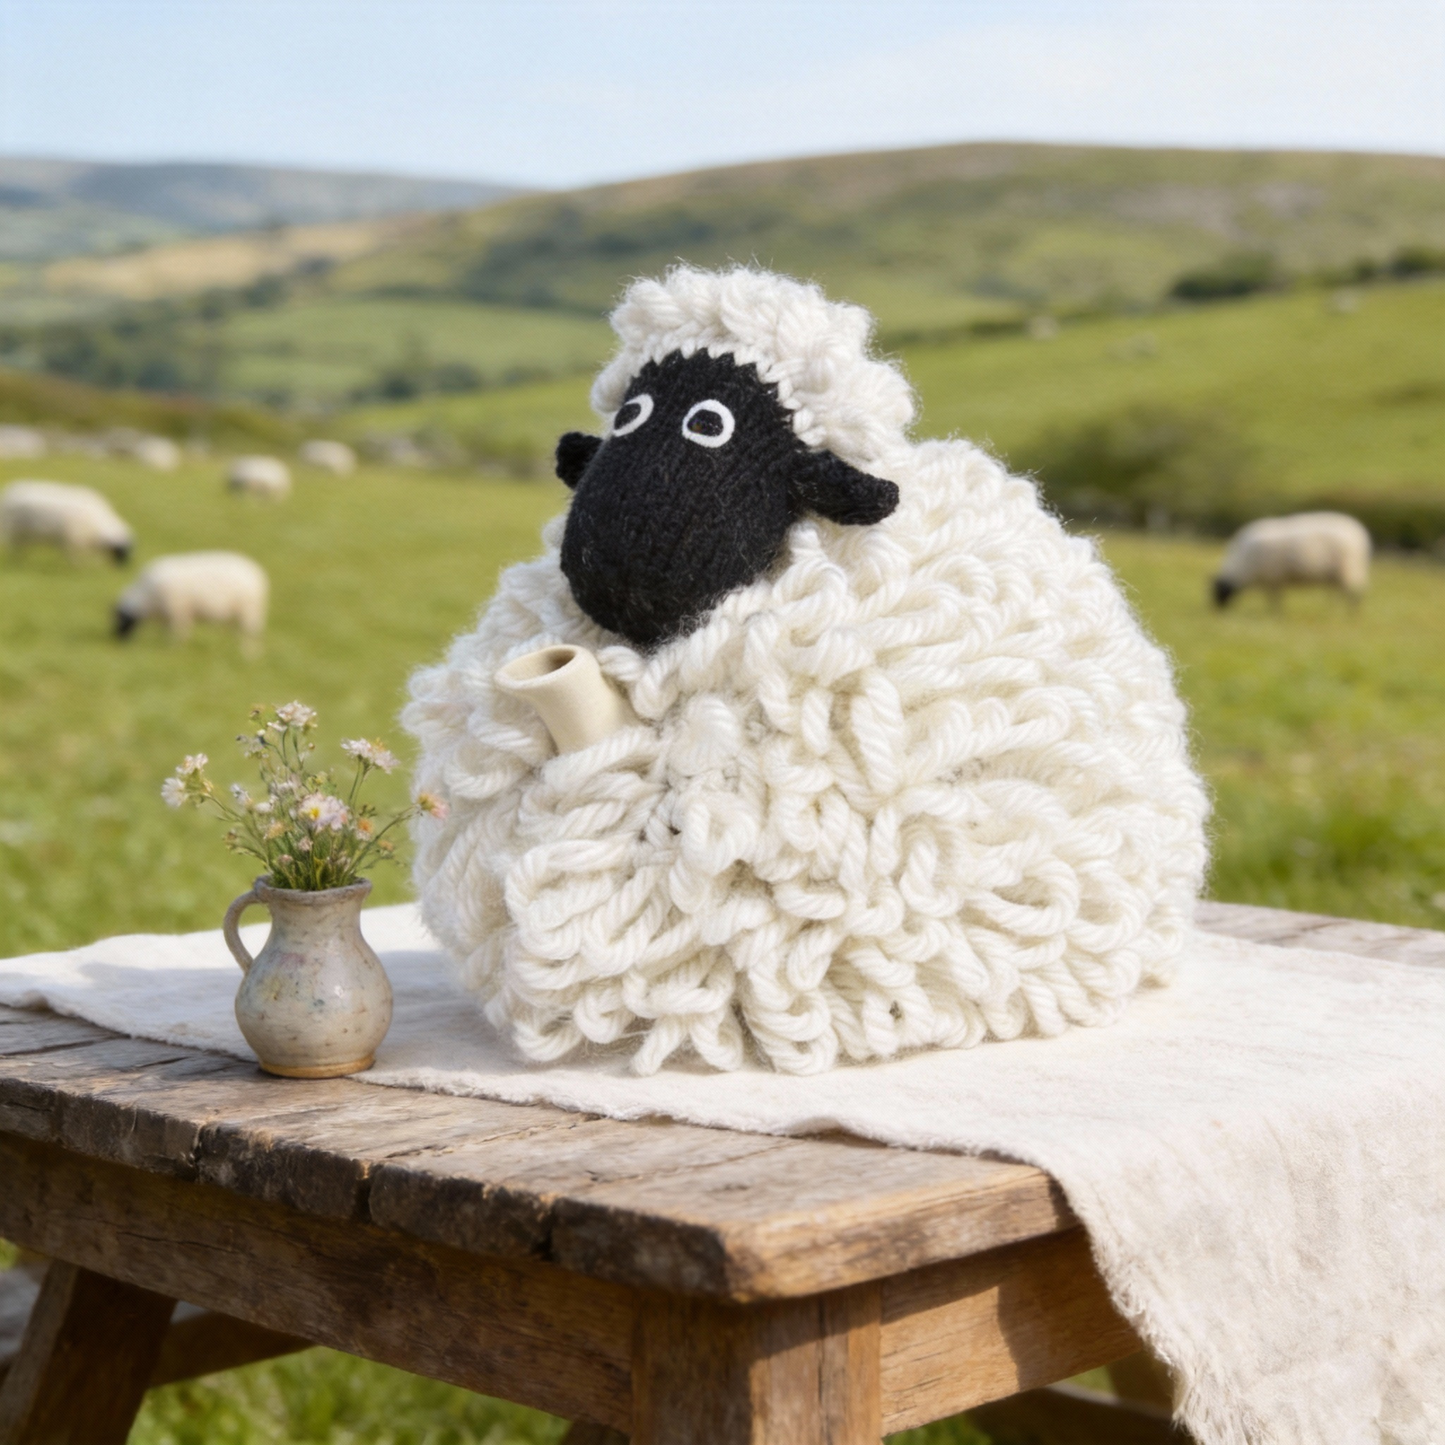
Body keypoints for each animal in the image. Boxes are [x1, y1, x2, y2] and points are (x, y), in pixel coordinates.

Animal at [2, 480, 133, 564]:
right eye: (121, 551)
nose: (125, 569)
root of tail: (9, 494)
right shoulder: (71, 540)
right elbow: (72, 556)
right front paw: (79, 566)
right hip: (14, 532)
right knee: (14, 548)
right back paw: (17, 561)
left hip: (22, 535)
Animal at [114, 552, 268, 645]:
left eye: (122, 619)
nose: (117, 640)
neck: (145, 597)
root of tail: (258, 574)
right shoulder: (171, 614)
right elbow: (170, 630)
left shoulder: (178, 612)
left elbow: (178, 632)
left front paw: (174, 646)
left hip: (249, 612)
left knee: (250, 635)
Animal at [1213, 512, 1371, 608]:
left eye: (1219, 592)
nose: (1217, 613)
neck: (1242, 565)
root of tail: (1359, 533)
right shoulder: (1273, 580)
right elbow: (1274, 599)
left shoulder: (1273, 579)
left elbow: (1274, 600)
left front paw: (1275, 614)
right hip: (1341, 574)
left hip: (1348, 570)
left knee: (1355, 594)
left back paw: (1351, 615)